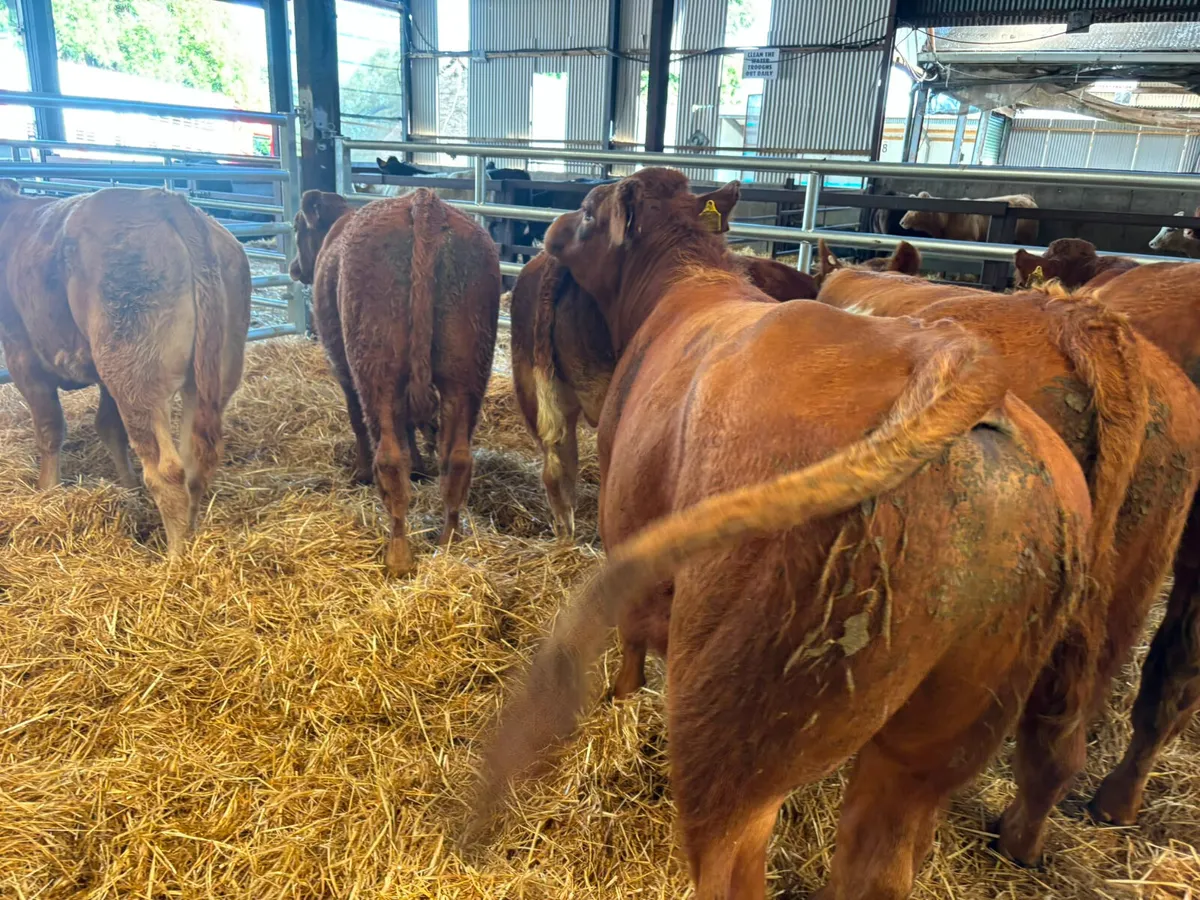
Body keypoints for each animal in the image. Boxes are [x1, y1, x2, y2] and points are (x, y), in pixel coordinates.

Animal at [0, 180, 250, 556]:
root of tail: (165, 200)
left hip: (135, 374)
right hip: (212, 375)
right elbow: (108, 426)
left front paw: (47, 491)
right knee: (195, 462)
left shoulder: (22, 354)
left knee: (167, 470)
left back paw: (175, 559)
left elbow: (50, 429)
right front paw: (129, 489)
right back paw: (191, 538)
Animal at [288, 188, 500, 575]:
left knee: (388, 456)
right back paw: (449, 541)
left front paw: (360, 472)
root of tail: (425, 203)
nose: (295, 268)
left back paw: (399, 555)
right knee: (458, 457)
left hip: (376, 368)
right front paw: (419, 466)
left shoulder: (342, 365)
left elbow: (357, 420)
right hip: (465, 373)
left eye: (297, 227)